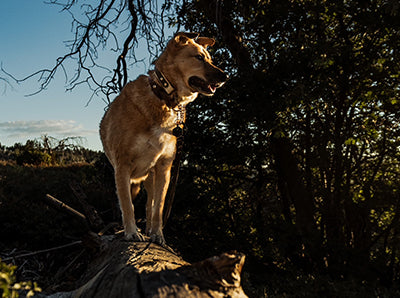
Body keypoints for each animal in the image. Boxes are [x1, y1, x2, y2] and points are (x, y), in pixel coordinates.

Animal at [99, 32, 227, 244]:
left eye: (210, 59)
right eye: (199, 58)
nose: (226, 76)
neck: (163, 98)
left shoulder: (164, 167)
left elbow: (158, 207)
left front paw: (158, 235)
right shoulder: (122, 165)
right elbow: (127, 204)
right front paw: (131, 232)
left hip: (151, 176)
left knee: (150, 206)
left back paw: (149, 229)